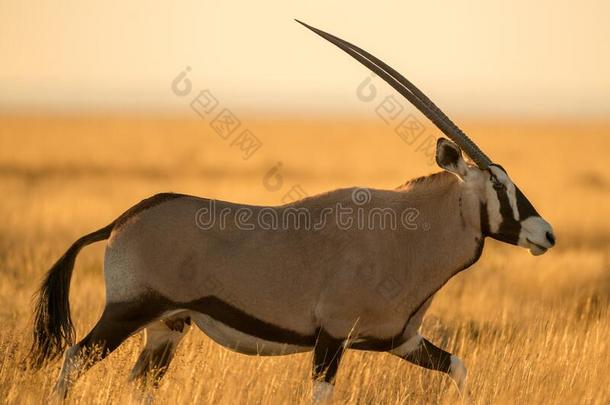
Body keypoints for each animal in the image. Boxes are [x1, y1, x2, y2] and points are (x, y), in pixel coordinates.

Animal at [29, 21, 556, 400]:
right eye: (498, 184)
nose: (546, 234)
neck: (409, 233)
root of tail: (121, 221)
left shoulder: (401, 341)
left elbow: (460, 367)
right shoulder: (331, 340)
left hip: (167, 327)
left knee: (139, 382)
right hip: (128, 312)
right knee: (74, 357)